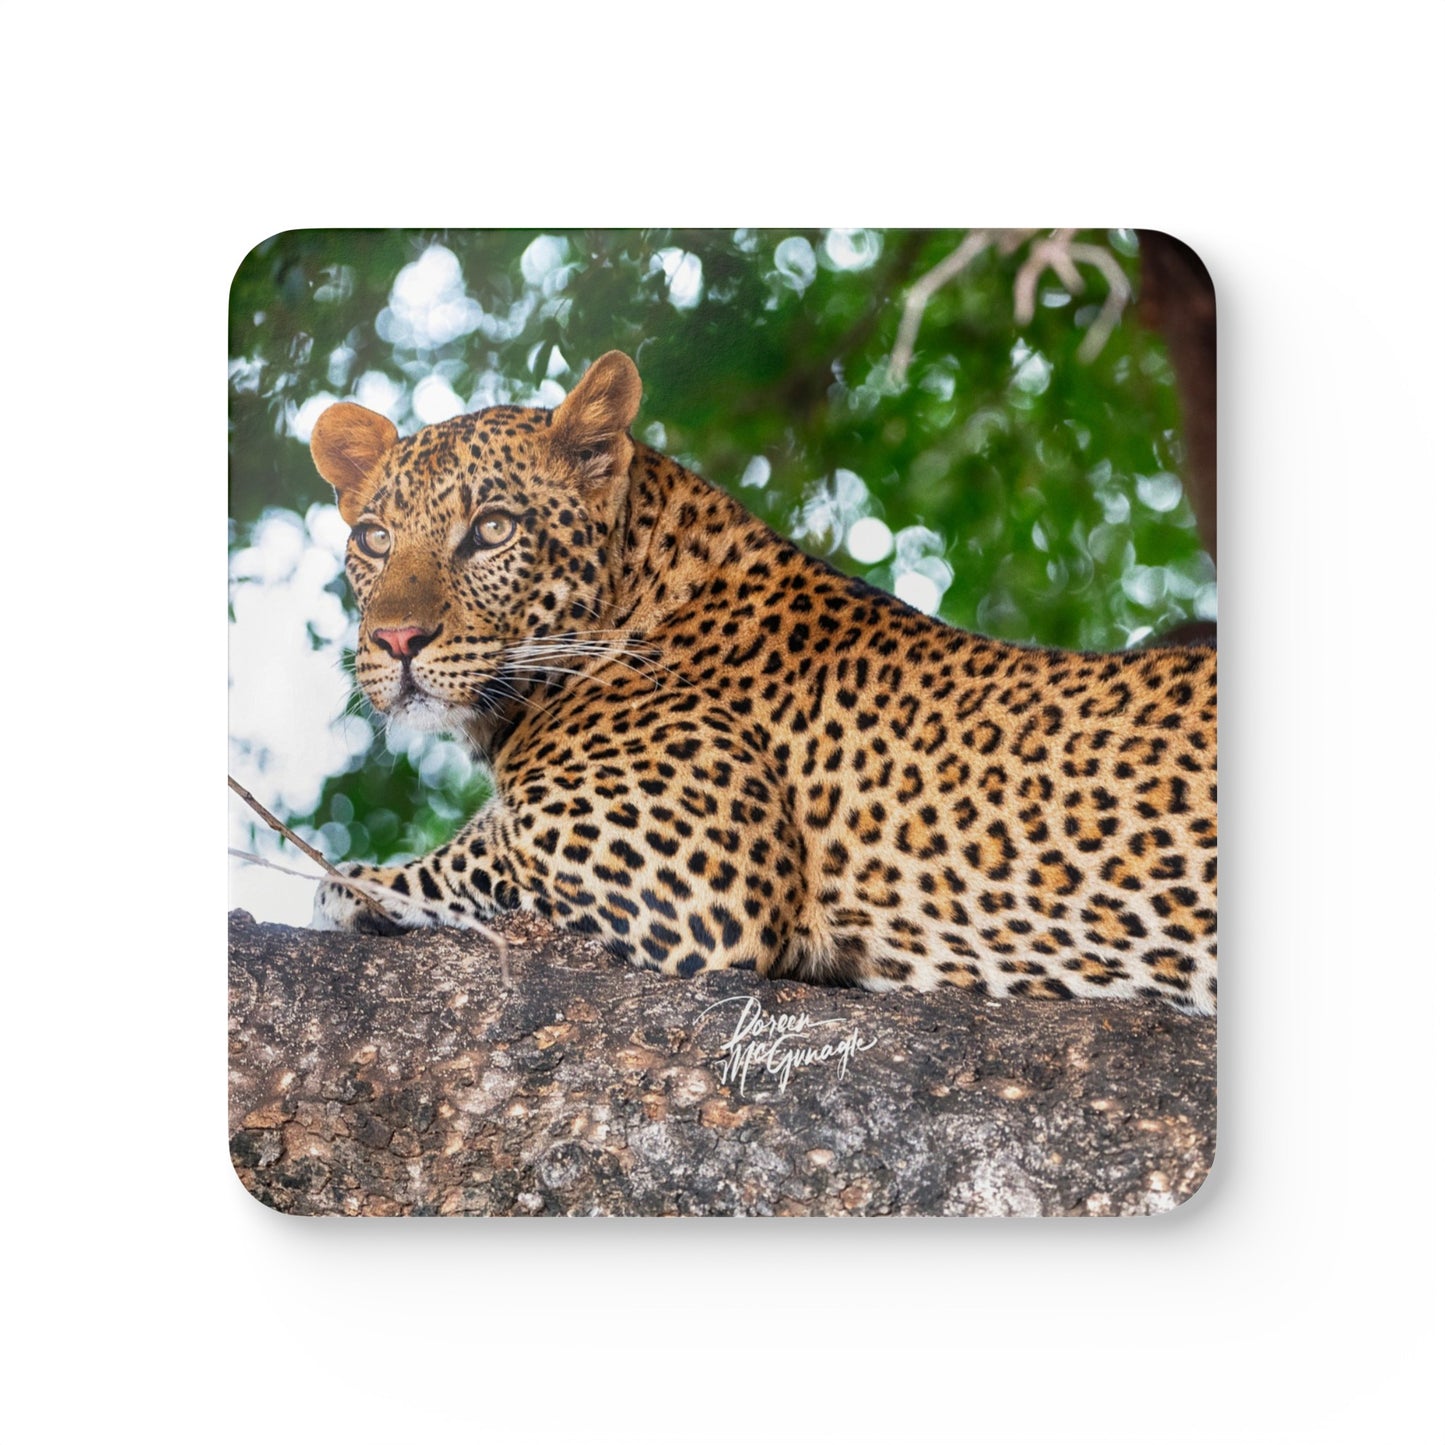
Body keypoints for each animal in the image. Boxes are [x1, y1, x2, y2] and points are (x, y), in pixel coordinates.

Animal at [308, 351, 1217, 1013]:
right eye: (375, 538)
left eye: (492, 529)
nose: (396, 640)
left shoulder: (678, 873)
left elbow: (456, 858)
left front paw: (355, 887)